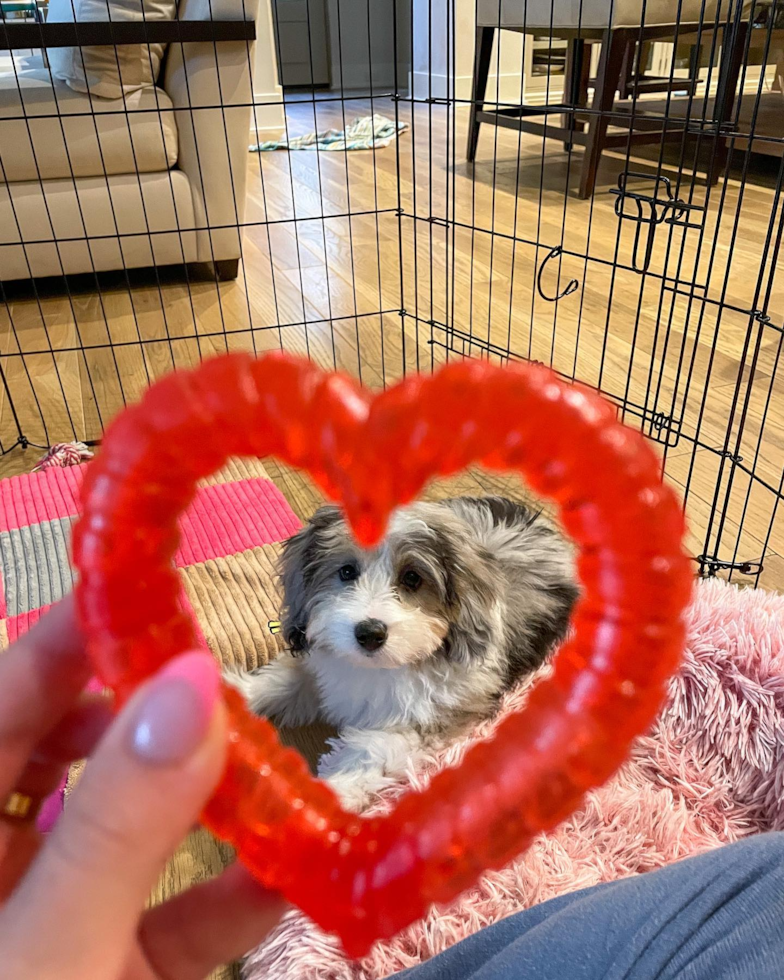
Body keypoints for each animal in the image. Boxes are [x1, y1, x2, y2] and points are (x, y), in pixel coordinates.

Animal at [227, 498, 576, 812]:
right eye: (347, 571)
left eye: (412, 578)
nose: (369, 633)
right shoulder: (320, 663)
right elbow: (286, 681)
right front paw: (237, 693)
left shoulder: (433, 719)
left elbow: (371, 749)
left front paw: (332, 797)